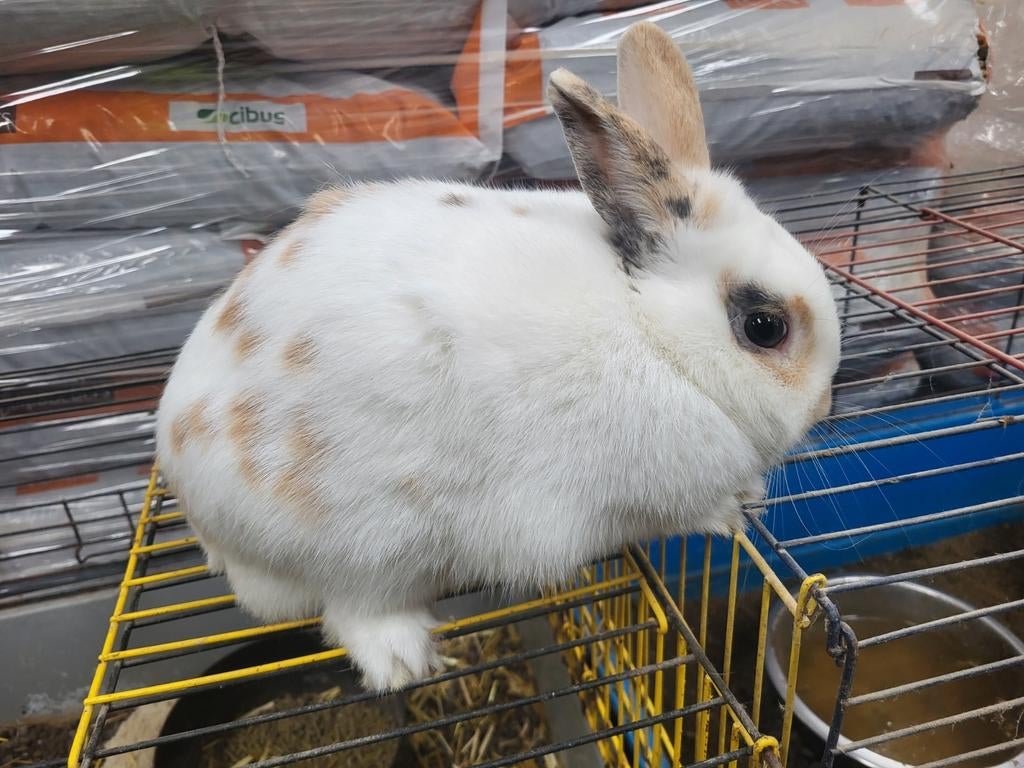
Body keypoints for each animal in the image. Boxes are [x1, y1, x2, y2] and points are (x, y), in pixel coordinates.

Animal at [155, 21, 841, 692]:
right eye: (764, 327)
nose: (825, 406)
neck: (655, 335)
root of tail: (196, 508)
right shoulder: (649, 489)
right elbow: (691, 509)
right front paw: (734, 509)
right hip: (367, 545)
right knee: (354, 612)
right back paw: (409, 664)